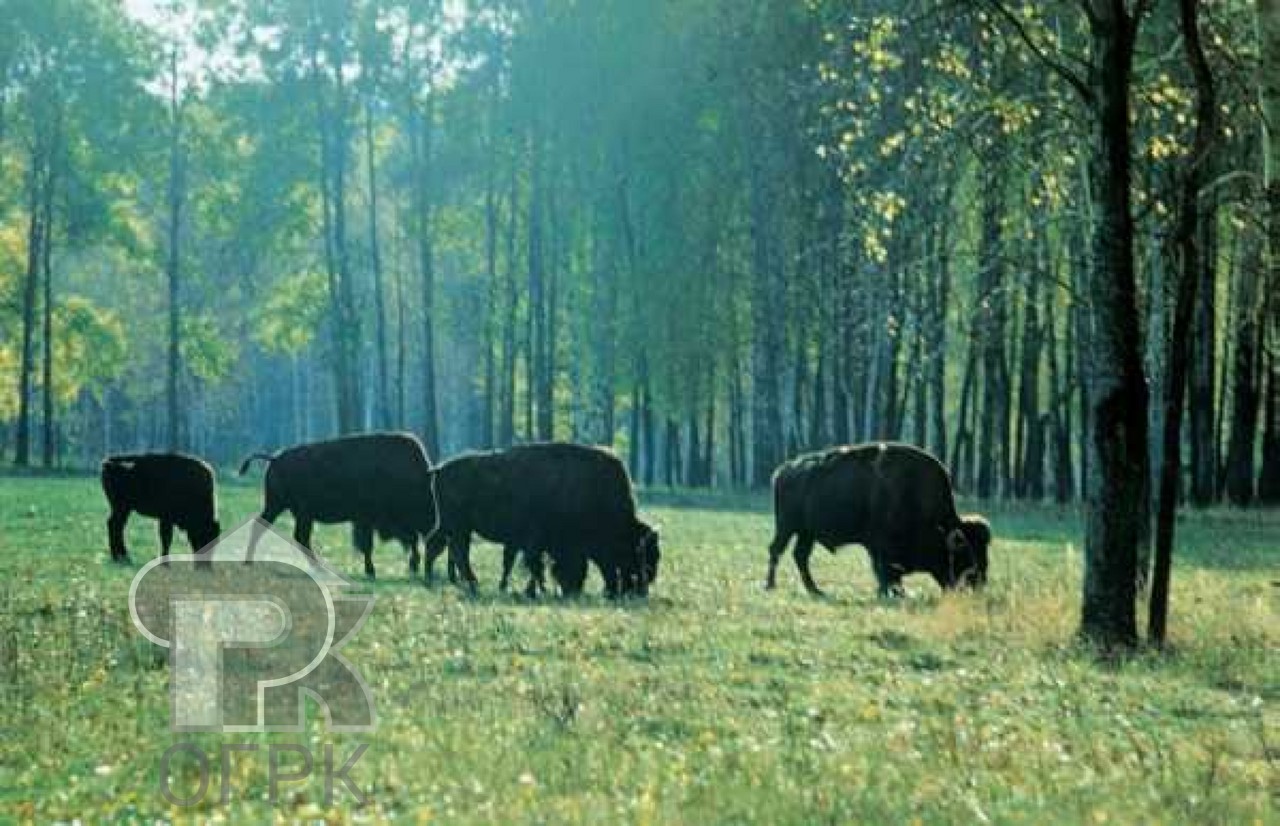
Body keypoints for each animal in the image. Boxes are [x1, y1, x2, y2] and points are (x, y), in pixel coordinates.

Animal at [238, 432, 437, 578]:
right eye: (427, 504)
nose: (433, 525)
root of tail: (275, 458)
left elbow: (407, 540)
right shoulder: (366, 520)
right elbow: (368, 545)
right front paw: (371, 571)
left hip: (288, 510)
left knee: (295, 536)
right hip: (286, 508)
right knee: (280, 532)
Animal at [762, 440, 993, 596]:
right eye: (965, 553)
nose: (979, 583)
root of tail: (782, 471)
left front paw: (895, 592)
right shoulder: (880, 549)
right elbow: (885, 573)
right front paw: (892, 593)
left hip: (806, 532)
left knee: (800, 555)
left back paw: (814, 589)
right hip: (787, 526)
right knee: (777, 550)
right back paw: (771, 585)